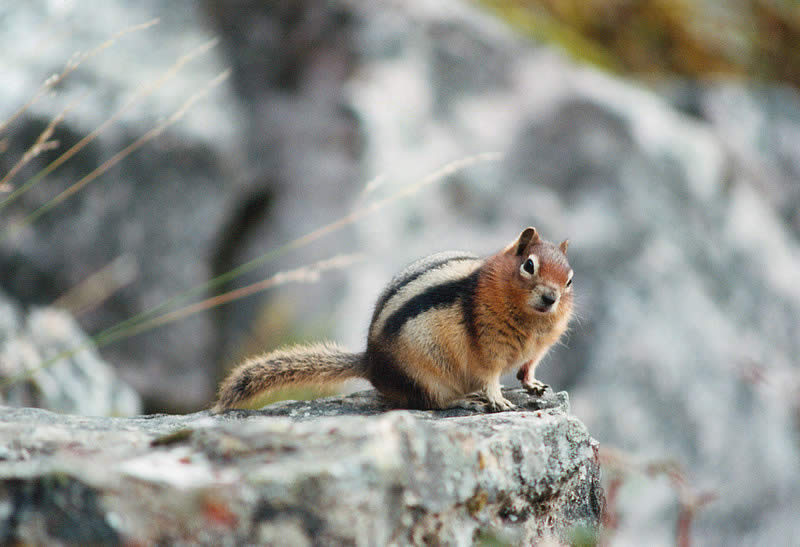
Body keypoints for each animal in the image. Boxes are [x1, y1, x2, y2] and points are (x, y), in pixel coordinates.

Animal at [214, 226, 576, 412]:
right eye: (529, 266)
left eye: (570, 279)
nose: (551, 298)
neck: (531, 322)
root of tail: (372, 363)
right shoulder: (488, 345)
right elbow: (490, 375)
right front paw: (497, 398)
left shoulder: (536, 350)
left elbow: (527, 369)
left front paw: (534, 384)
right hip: (424, 375)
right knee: (435, 403)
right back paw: (466, 400)